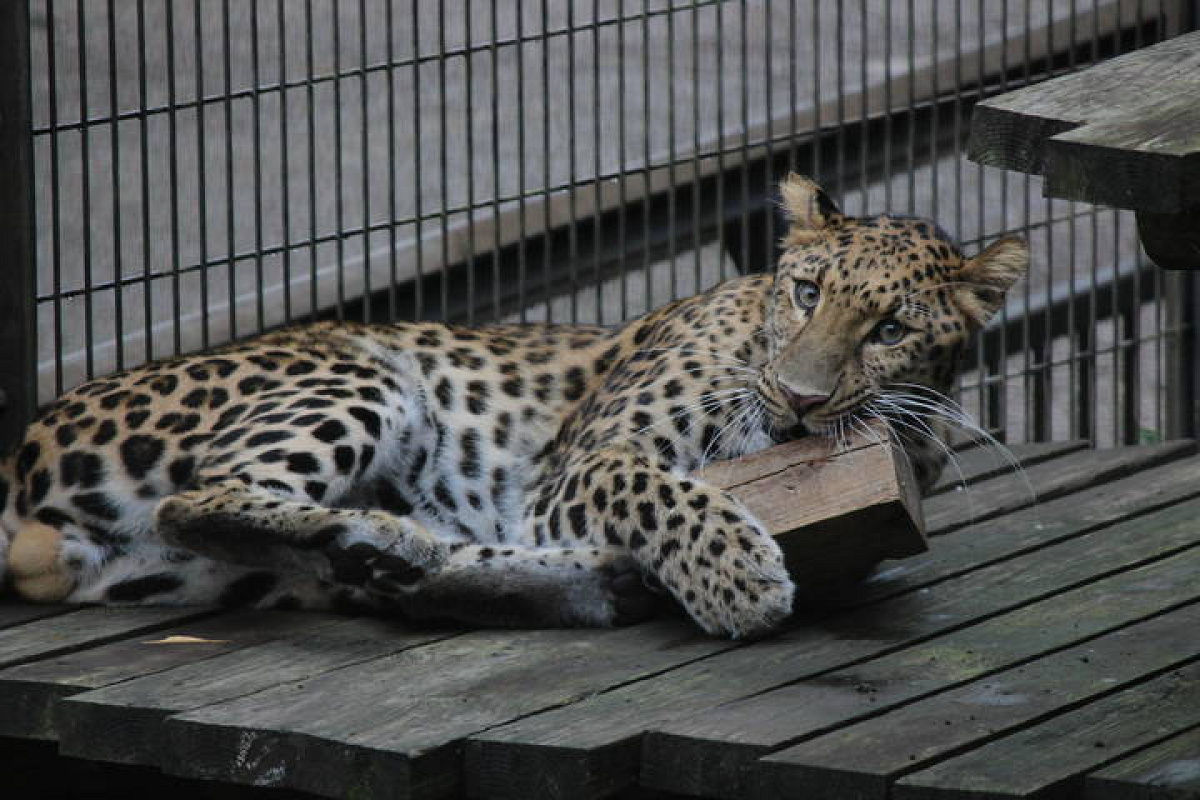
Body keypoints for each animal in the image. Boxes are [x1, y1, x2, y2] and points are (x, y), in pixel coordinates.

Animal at [0, 178, 1027, 642]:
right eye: (808, 293)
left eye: (891, 328)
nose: (801, 401)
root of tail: (19, 458)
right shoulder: (579, 467)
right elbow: (656, 488)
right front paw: (735, 575)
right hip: (358, 372)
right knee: (204, 495)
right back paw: (391, 539)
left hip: (209, 573)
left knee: (387, 578)